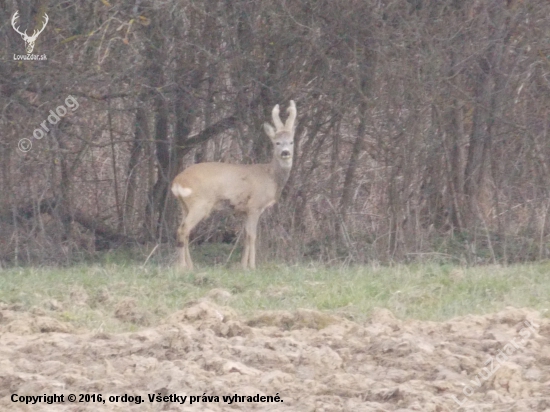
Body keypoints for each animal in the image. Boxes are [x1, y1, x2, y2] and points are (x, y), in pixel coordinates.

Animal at [175, 100, 300, 270]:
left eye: (291, 141)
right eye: (277, 142)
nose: (286, 152)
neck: (270, 177)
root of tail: (177, 181)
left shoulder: (244, 210)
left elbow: (245, 236)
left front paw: (243, 266)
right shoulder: (255, 206)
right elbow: (253, 236)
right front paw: (252, 266)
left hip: (184, 206)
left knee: (183, 230)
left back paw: (189, 266)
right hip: (199, 203)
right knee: (183, 230)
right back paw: (183, 267)